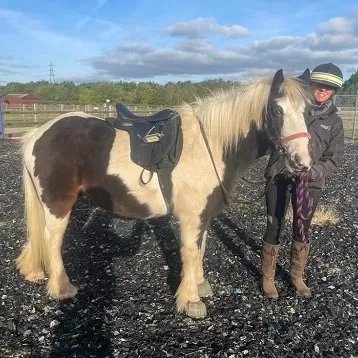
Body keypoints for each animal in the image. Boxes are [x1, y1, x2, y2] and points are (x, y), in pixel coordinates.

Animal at [16, 68, 314, 318]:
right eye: (277, 110)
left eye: (307, 111)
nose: (302, 162)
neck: (213, 143)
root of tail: (38, 134)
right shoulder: (191, 215)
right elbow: (190, 252)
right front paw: (191, 300)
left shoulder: (204, 215)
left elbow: (201, 248)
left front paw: (199, 284)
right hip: (58, 204)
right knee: (52, 241)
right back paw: (62, 288)